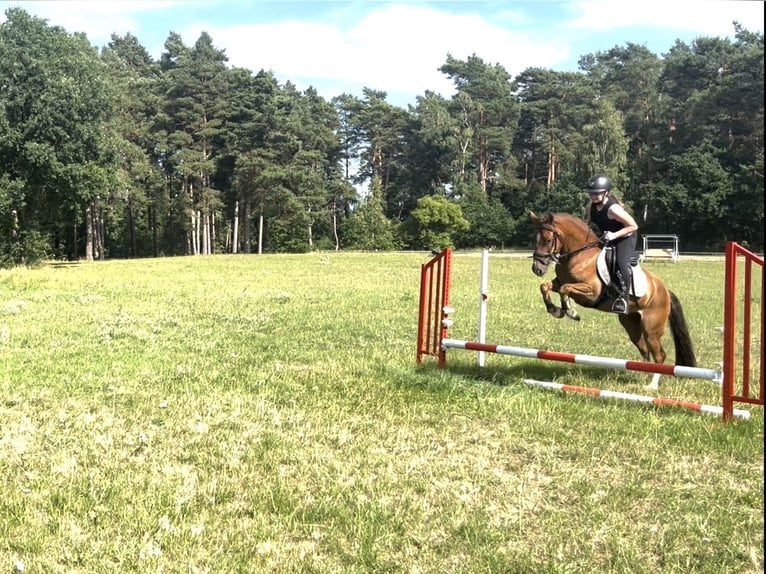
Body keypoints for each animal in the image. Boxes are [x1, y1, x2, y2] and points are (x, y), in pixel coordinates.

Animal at [529, 211, 696, 390]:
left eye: (547, 240)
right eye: (535, 239)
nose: (537, 269)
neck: (580, 255)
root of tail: (665, 291)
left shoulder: (591, 292)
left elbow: (565, 289)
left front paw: (570, 311)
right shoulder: (558, 282)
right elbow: (545, 286)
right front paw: (555, 310)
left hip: (651, 329)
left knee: (659, 355)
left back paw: (651, 385)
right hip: (631, 324)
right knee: (645, 350)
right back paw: (642, 376)